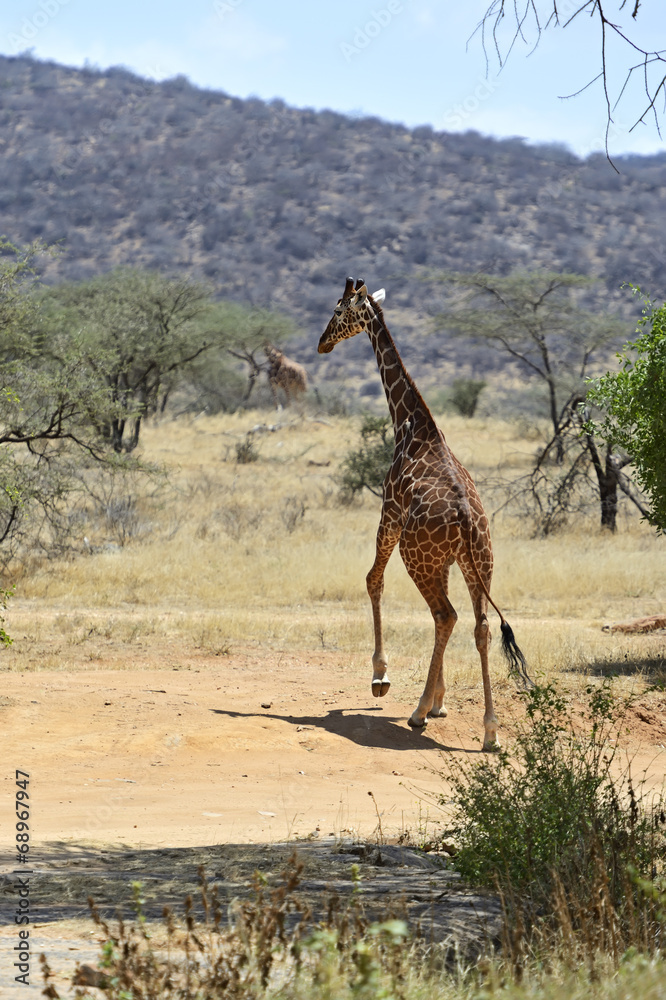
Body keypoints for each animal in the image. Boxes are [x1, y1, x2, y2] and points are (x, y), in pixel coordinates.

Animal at [318, 277, 530, 751]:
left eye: (338, 310)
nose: (322, 343)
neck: (410, 420)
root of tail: (468, 522)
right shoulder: (447, 561)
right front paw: (440, 702)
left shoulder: (389, 512)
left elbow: (372, 579)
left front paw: (381, 677)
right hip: (478, 562)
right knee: (479, 625)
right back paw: (490, 730)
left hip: (416, 556)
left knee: (445, 614)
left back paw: (415, 713)